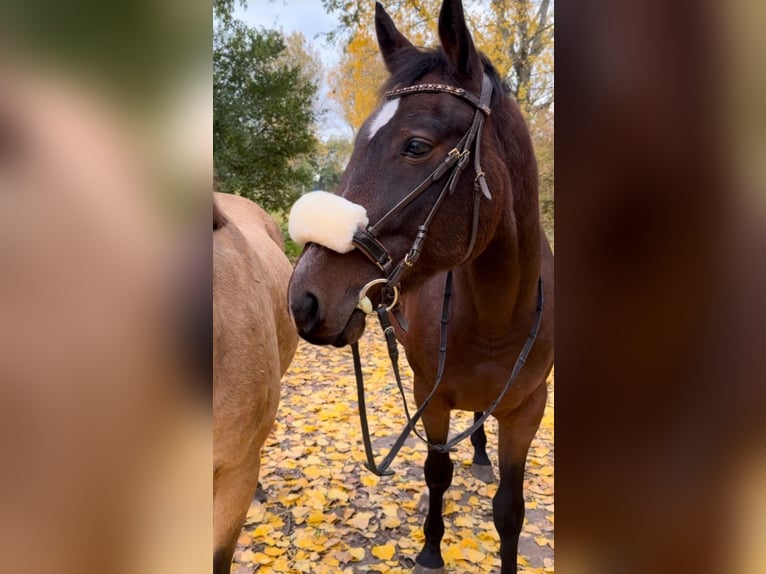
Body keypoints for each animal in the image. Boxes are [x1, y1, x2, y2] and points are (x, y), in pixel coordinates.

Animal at [286, 2, 552, 572]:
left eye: (416, 146)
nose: (303, 299)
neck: (498, 318)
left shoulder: (528, 408)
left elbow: (511, 510)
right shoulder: (429, 395)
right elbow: (436, 472)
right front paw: (431, 548)